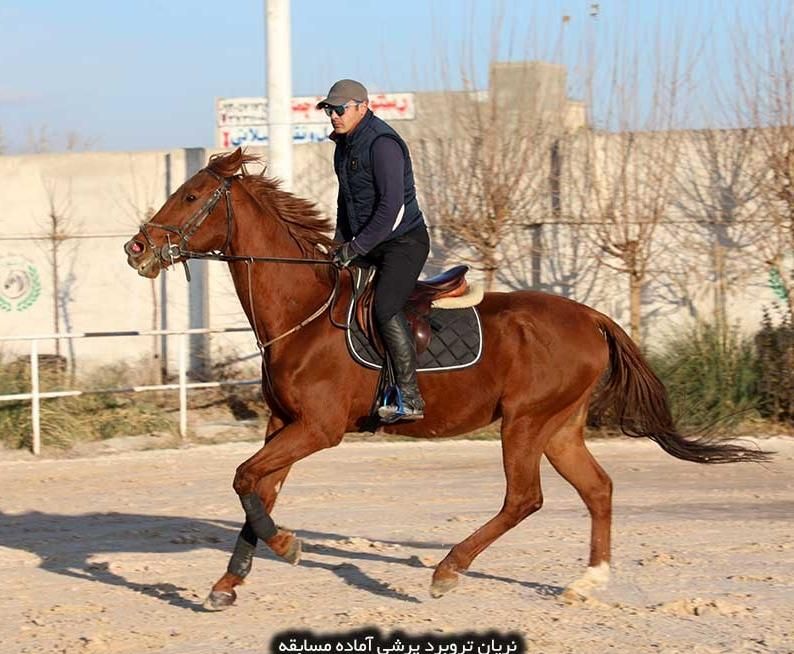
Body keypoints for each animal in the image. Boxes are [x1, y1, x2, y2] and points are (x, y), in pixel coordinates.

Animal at [122, 147, 768, 608]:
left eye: (192, 195)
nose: (136, 248)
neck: (303, 311)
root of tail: (591, 316)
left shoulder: (318, 429)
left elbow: (244, 479)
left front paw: (286, 545)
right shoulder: (283, 425)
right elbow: (257, 489)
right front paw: (227, 584)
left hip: (525, 423)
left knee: (524, 498)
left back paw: (448, 570)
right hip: (559, 427)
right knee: (598, 490)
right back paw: (587, 583)